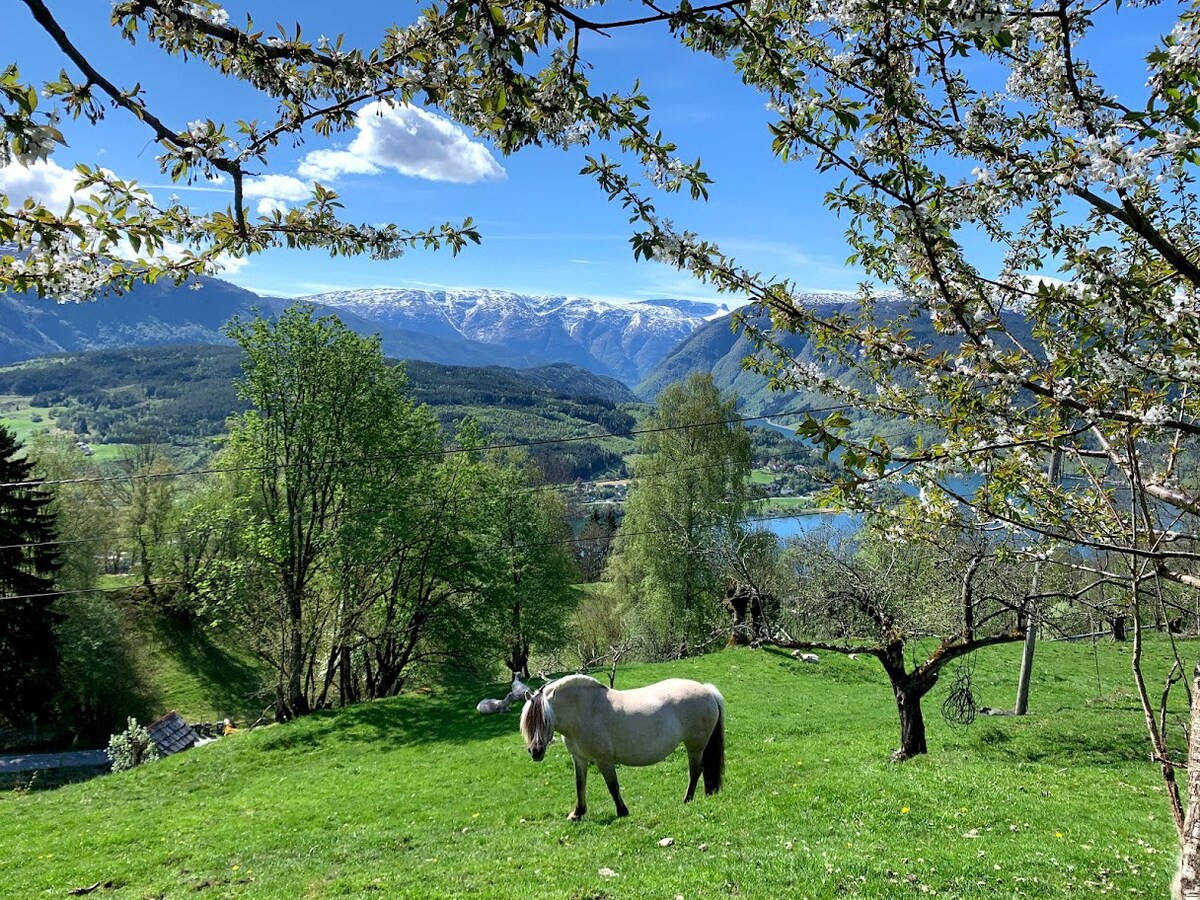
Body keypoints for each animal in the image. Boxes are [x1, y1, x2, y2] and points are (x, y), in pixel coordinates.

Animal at [516, 676, 720, 816]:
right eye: (529, 722)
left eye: (545, 720)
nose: (535, 751)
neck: (584, 711)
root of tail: (707, 690)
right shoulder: (579, 758)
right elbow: (580, 784)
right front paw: (578, 813)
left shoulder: (603, 760)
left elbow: (612, 785)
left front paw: (622, 811)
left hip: (695, 747)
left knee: (695, 771)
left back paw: (687, 799)